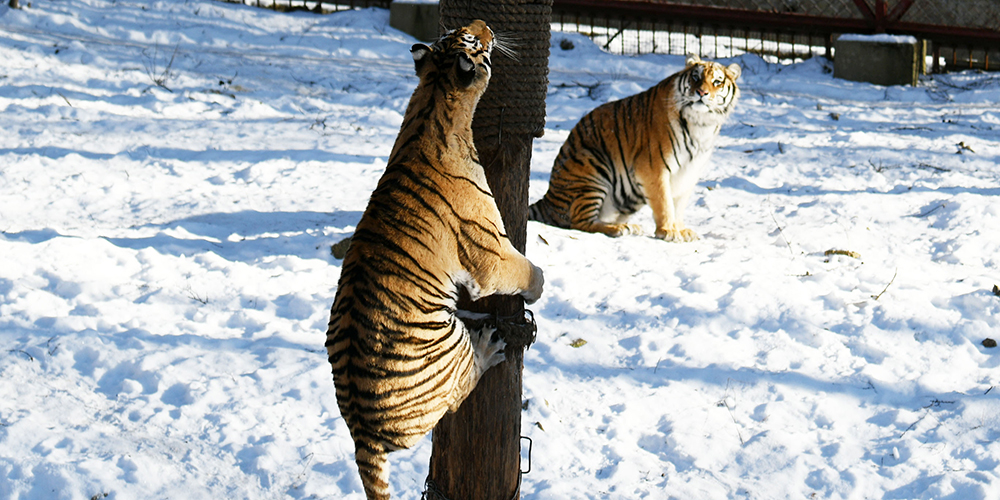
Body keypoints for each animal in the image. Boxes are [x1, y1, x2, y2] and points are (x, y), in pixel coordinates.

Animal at [326, 18, 548, 500]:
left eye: (461, 31)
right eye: (475, 41)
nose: (487, 25)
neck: (433, 97)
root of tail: (359, 434)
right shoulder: (489, 250)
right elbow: (521, 267)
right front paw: (540, 284)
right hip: (449, 347)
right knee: (463, 385)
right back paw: (490, 347)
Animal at [528, 53, 740, 241]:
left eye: (717, 82)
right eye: (696, 77)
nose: (702, 93)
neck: (701, 123)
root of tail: (548, 199)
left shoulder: (689, 172)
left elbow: (678, 205)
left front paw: (681, 230)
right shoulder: (653, 167)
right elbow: (664, 201)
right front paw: (668, 231)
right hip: (593, 167)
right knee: (579, 222)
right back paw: (620, 228)